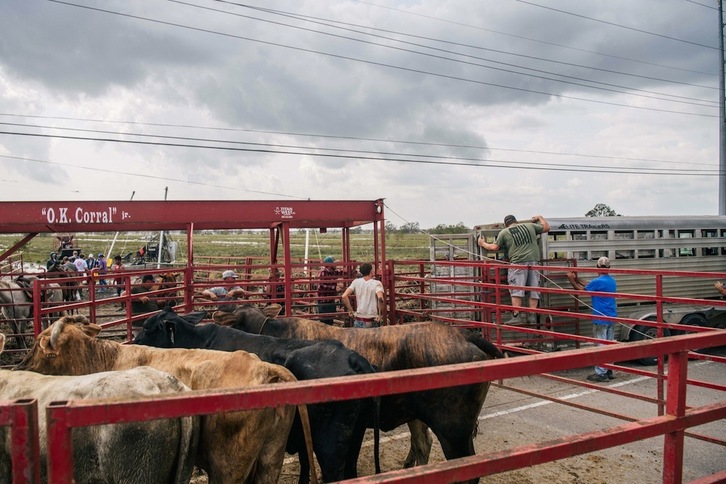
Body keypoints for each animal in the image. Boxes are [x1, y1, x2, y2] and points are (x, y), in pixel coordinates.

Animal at [17, 314, 312, 484]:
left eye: (40, 345)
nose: (21, 363)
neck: (105, 359)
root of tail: (265, 369)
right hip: (270, 459)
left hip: (229, 466)